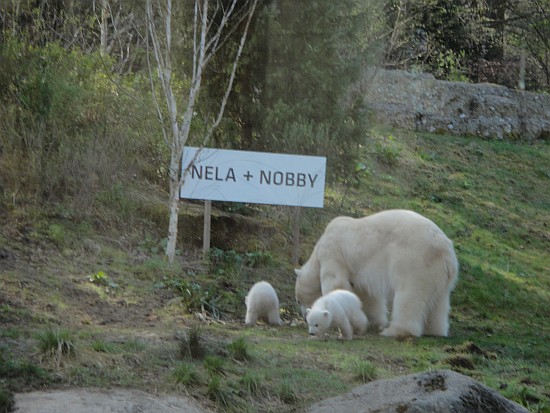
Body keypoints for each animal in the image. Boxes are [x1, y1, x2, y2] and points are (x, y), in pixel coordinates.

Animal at [296, 209, 460, 338]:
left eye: (298, 300)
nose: (304, 316)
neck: (318, 249)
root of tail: (447, 253)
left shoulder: (333, 252)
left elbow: (336, 282)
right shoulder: (360, 270)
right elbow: (367, 295)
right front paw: (373, 321)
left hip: (415, 262)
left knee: (410, 295)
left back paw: (395, 331)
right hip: (439, 274)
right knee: (439, 302)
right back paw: (434, 330)